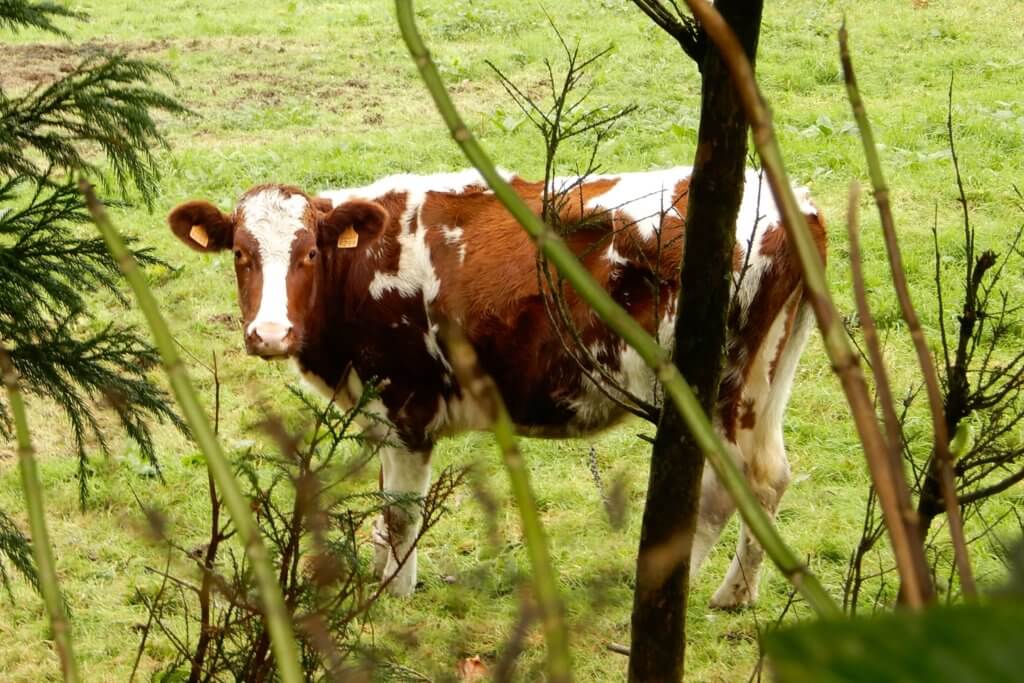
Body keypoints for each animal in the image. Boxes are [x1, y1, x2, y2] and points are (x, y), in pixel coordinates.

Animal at [167, 167, 823, 606]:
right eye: (241, 255)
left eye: (308, 253)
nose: (270, 333)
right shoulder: (379, 414)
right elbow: (383, 509)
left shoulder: (408, 406)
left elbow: (400, 513)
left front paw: (392, 597)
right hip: (763, 382)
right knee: (768, 477)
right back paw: (728, 593)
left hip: (718, 392)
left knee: (731, 489)